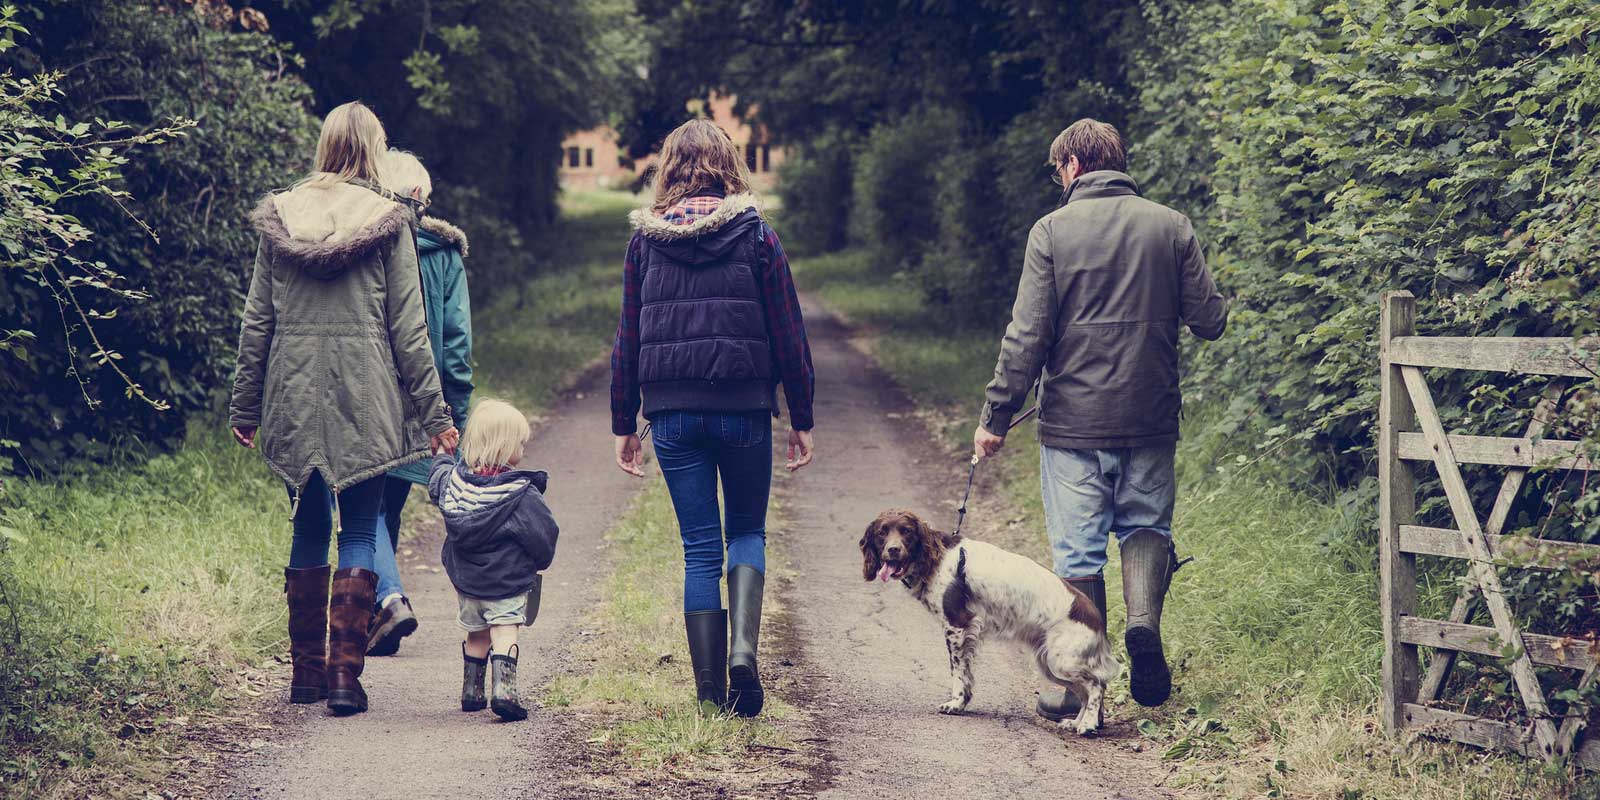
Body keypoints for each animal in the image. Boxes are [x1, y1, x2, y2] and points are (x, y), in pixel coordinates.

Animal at [857, 508, 1120, 732]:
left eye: (906, 531)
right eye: (882, 532)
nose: (893, 549)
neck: (935, 559)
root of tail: (1094, 614)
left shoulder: (957, 624)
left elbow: (957, 672)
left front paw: (955, 704)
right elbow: (965, 674)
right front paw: (962, 703)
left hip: (1062, 662)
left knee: (1097, 685)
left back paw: (1088, 726)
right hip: (1050, 664)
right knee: (1085, 692)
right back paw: (1076, 723)